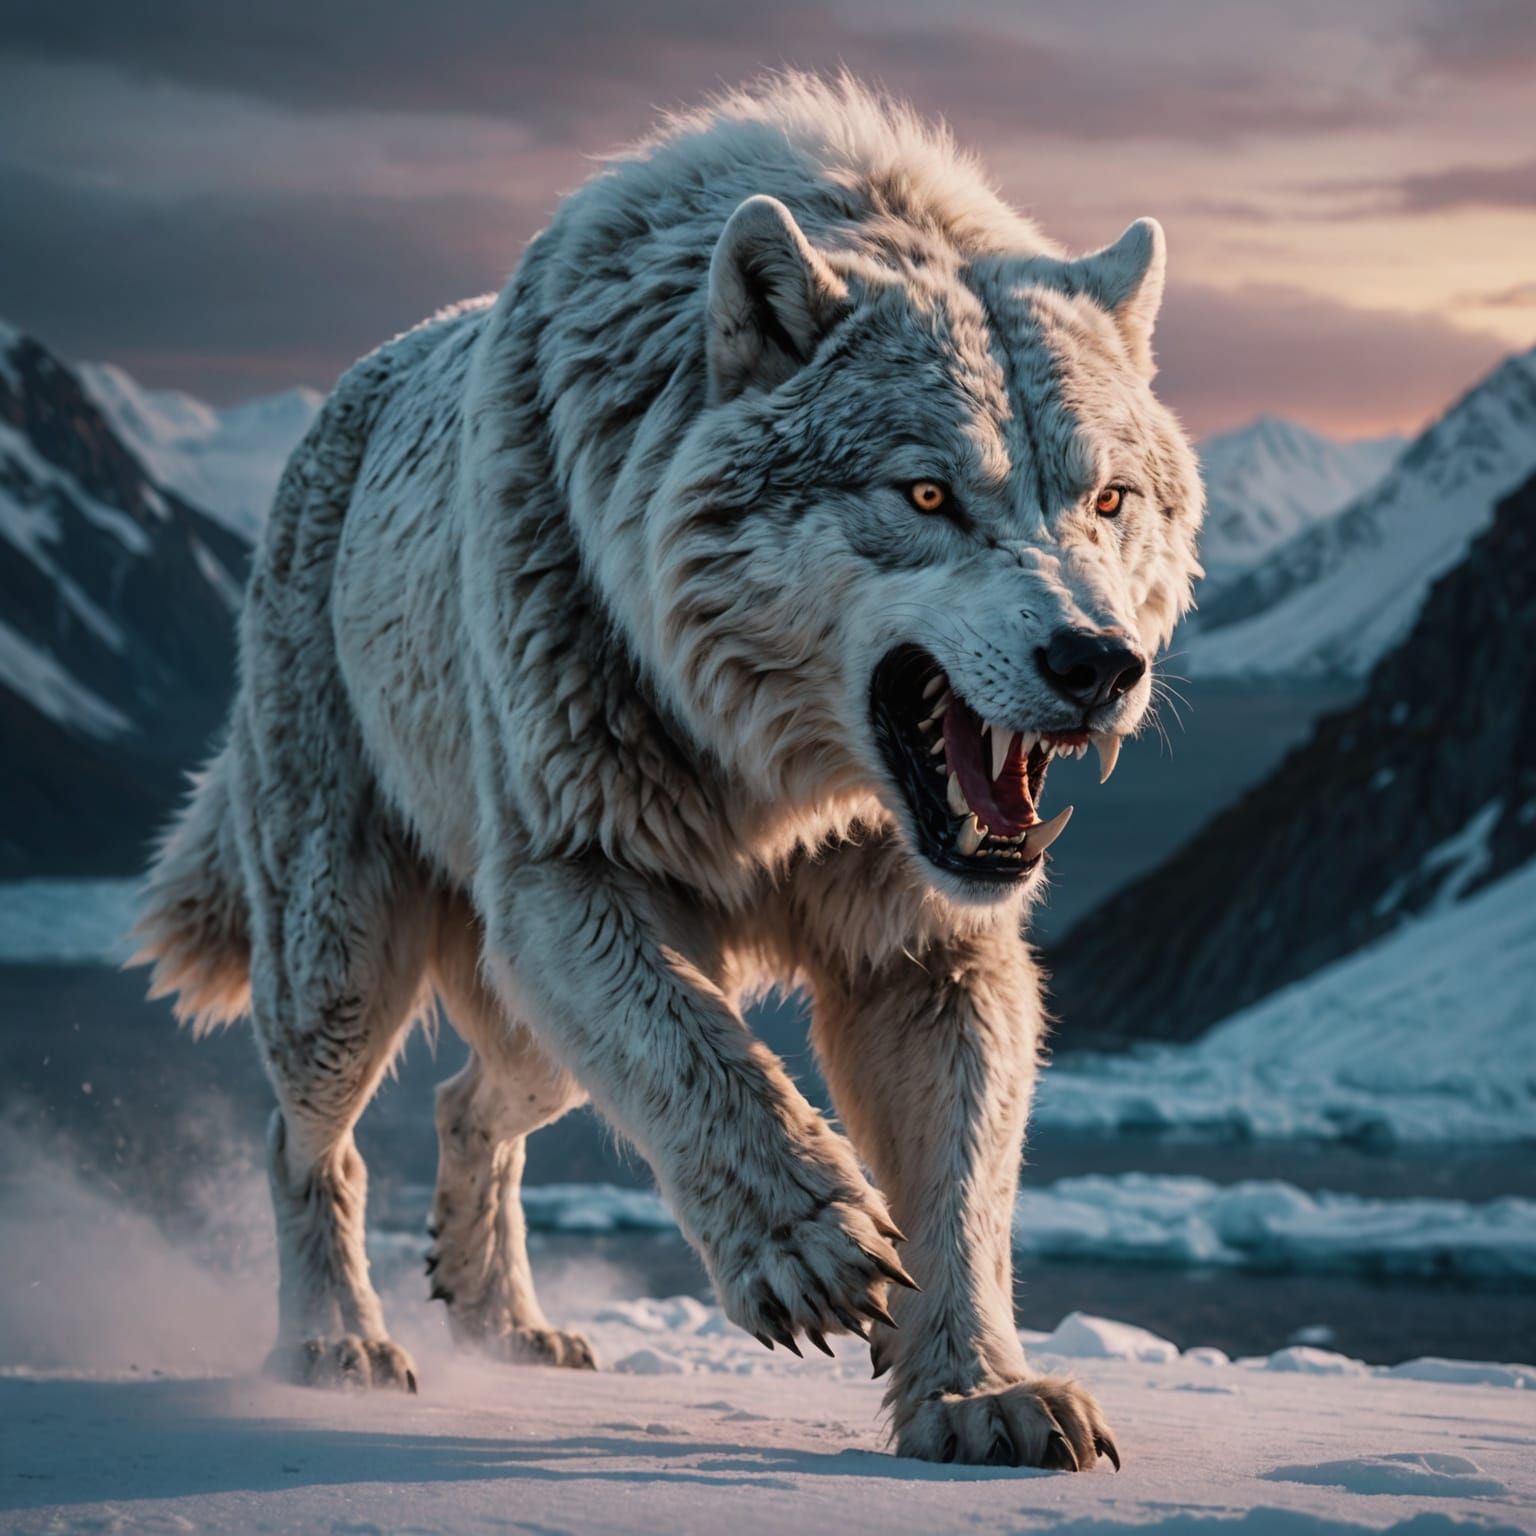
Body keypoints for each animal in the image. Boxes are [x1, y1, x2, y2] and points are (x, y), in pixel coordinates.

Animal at [133, 72, 1202, 1468]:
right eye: (925, 495)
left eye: (1108, 501)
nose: (1099, 663)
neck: (780, 786)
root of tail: (336, 403)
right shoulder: (568, 875)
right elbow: (698, 1056)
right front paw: (811, 1246)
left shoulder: (928, 949)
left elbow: (963, 1190)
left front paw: (979, 1396)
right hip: (346, 956)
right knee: (312, 1140)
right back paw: (336, 1345)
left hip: (525, 1024)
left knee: (471, 1109)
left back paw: (504, 1320)